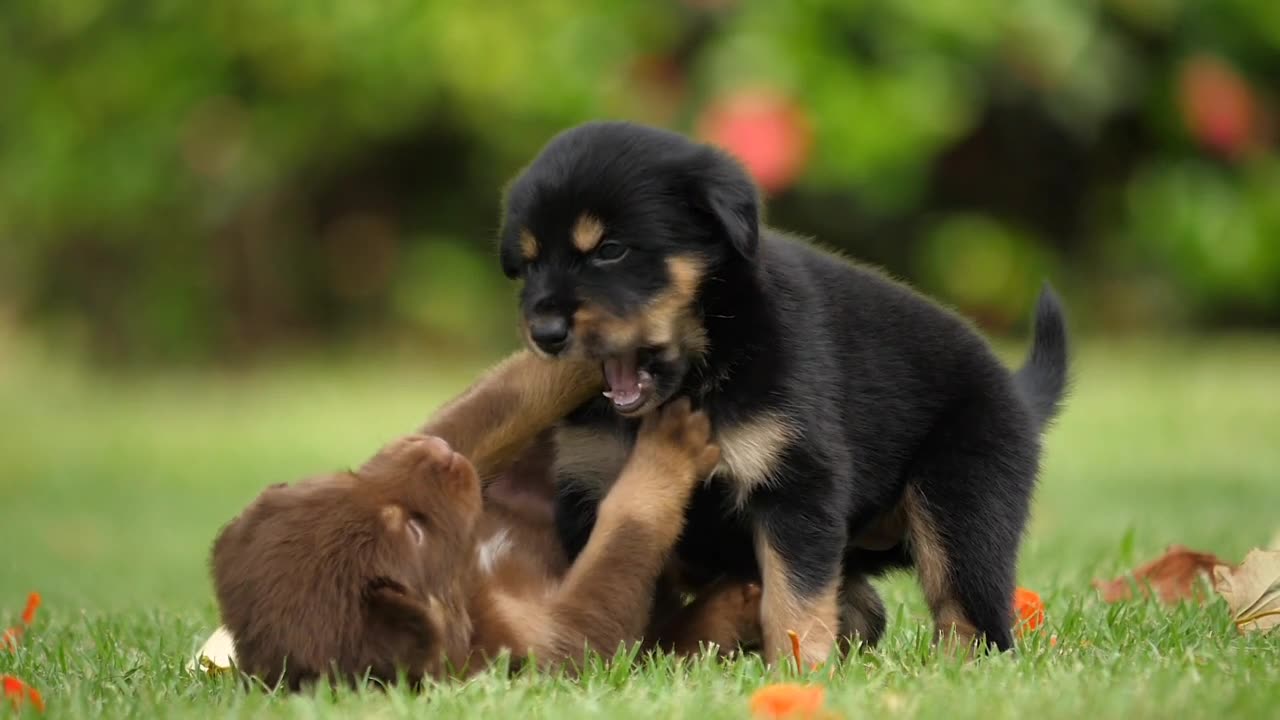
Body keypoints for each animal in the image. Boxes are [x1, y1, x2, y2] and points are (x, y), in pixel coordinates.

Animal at [207, 351, 747, 686]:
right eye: (413, 531)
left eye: (349, 477)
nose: (438, 451)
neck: (468, 581)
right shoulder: (545, 642)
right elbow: (616, 561)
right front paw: (669, 449)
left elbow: (499, 402)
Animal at [496, 120, 1070, 666]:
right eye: (529, 265)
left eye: (611, 251)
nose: (544, 333)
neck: (705, 366)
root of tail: (1015, 392)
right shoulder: (591, 490)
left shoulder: (796, 485)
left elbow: (793, 601)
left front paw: (799, 671)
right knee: (868, 609)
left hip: (962, 507)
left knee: (972, 621)